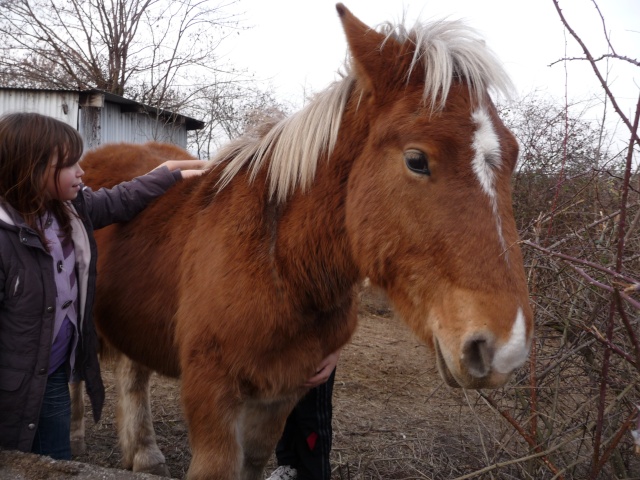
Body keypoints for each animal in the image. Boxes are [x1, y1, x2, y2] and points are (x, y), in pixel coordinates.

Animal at [71, 4, 536, 480]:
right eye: (416, 160)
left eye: (514, 156)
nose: (505, 347)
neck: (277, 260)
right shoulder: (211, 392)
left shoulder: (282, 391)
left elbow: (254, 460)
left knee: (133, 375)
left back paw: (143, 453)